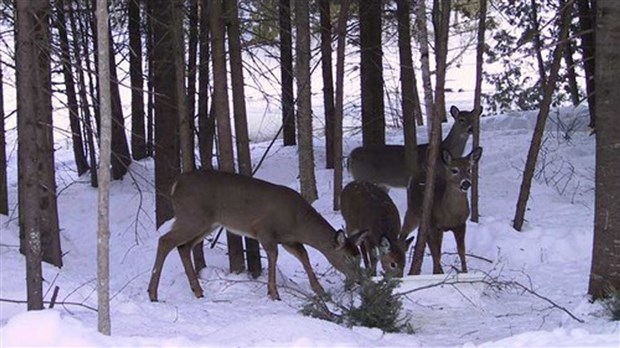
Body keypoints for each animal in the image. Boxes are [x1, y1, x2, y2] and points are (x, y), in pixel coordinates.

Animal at [147, 170, 366, 300]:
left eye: (359, 257)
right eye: (347, 258)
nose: (360, 280)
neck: (297, 222)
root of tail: (176, 184)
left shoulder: (289, 240)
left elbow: (304, 256)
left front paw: (319, 290)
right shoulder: (265, 230)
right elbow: (274, 256)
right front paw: (274, 293)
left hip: (207, 223)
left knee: (183, 246)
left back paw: (198, 291)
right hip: (192, 216)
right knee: (165, 240)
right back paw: (153, 293)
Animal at [402, 146, 484, 274]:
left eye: (469, 169)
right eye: (454, 170)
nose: (466, 183)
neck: (451, 214)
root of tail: (415, 175)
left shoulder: (461, 224)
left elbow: (461, 250)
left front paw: (465, 272)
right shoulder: (436, 226)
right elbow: (437, 252)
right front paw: (436, 273)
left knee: (426, 240)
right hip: (413, 210)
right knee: (404, 234)